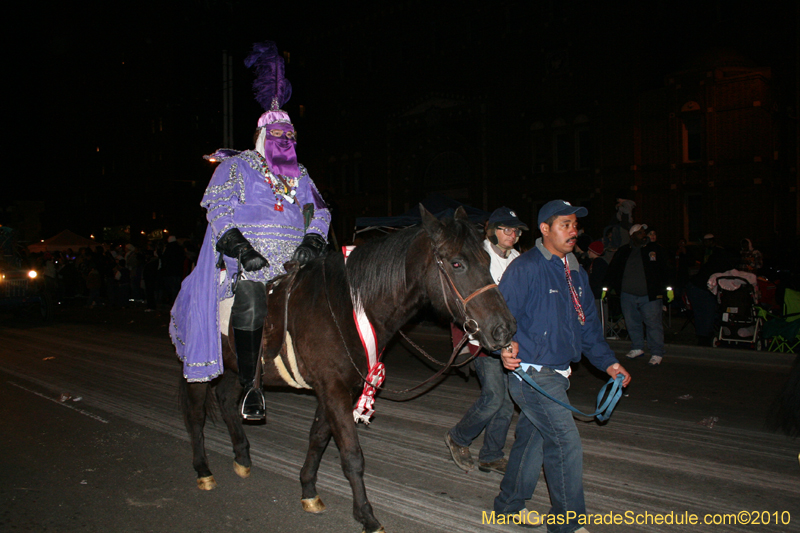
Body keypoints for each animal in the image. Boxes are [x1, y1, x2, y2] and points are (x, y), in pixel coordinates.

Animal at [180, 205, 516, 532]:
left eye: (487, 259)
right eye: (457, 263)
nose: (504, 329)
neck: (348, 308)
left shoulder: (336, 390)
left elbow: (318, 439)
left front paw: (309, 490)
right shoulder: (334, 391)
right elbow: (352, 455)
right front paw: (366, 515)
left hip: (238, 369)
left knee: (225, 399)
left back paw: (242, 457)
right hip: (200, 369)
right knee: (195, 416)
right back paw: (203, 470)